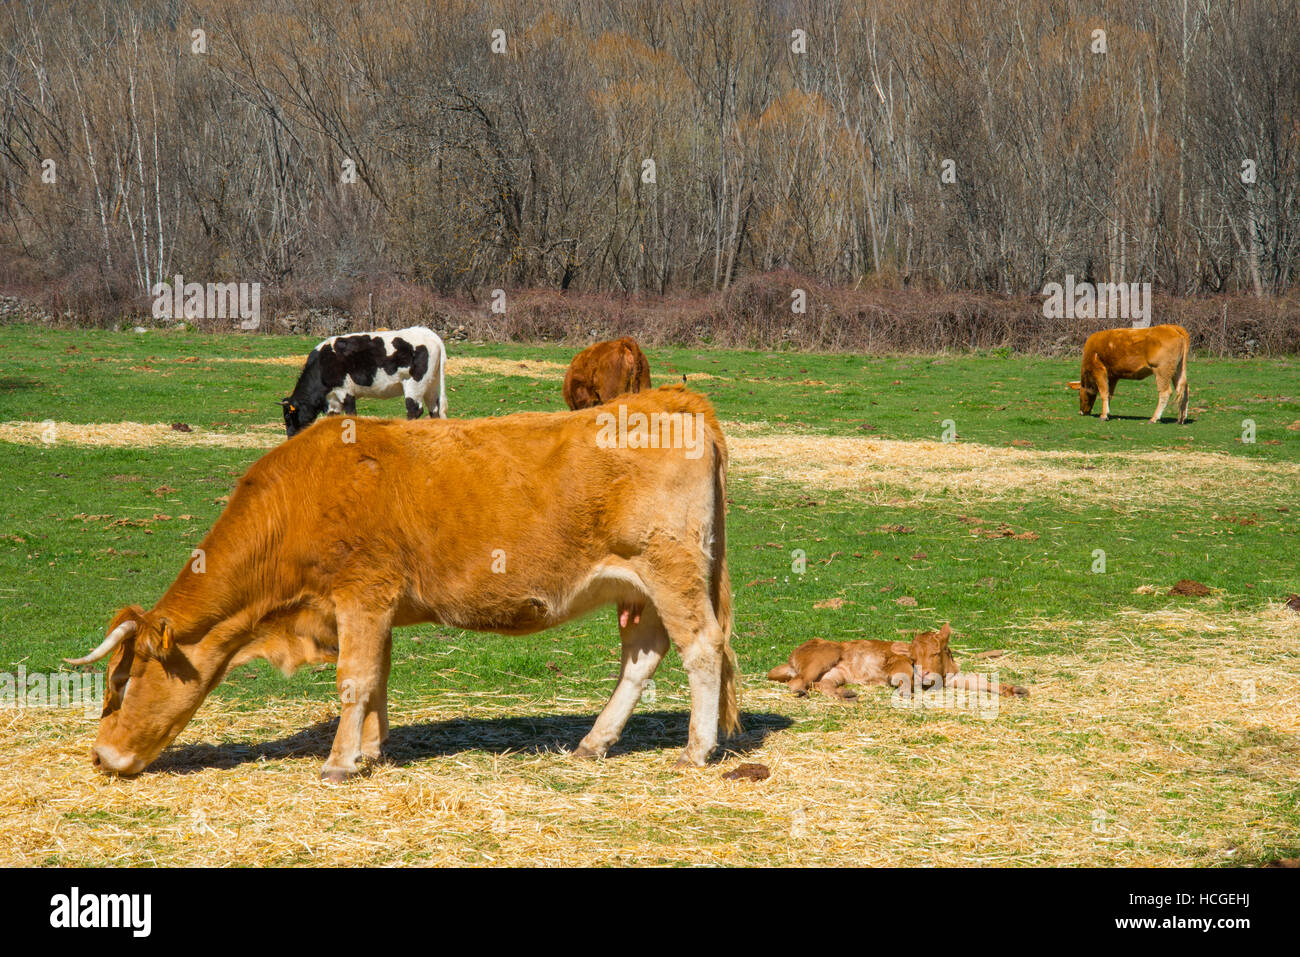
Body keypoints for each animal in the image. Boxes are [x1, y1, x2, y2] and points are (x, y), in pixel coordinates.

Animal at [71, 384, 738, 780]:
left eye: (121, 683)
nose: (102, 757)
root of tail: (675, 397)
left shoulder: (361, 596)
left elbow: (353, 679)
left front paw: (339, 762)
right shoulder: (373, 608)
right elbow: (377, 679)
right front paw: (369, 749)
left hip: (671, 570)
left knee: (703, 649)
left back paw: (697, 749)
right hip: (638, 589)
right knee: (643, 657)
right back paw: (595, 741)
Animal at [279, 325, 447, 436]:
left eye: (287, 416)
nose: (291, 437)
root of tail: (430, 334)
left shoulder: (345, 391)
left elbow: (351, 415)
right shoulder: (332, 400)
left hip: (414, 384)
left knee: (414, 410)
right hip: (431, 385)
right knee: (434, 411)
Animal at [759, 624, 1024, 696]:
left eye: (936, 652)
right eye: (914, 658)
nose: (924, 673)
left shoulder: (953, 677)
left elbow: (979, 681)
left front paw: (1014, 689)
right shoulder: (896, 664)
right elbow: (903, 675)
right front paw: (906, 688)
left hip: (836, 673)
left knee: (821, 685)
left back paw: (846, 695)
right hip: (826, 653)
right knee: (798, 682)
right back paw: (799, 692)